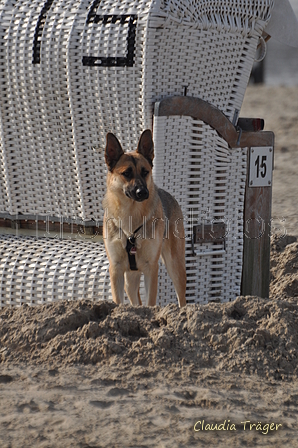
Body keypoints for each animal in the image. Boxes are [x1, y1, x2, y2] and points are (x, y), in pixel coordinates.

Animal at [103, 130, 185, 308]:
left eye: (145, 172)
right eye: (126, 173)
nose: (143, 192)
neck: (131, 213)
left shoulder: (151, 269)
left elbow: (150, 302)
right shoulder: (116, 269)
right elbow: (118, 301)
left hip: (175, 267)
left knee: (182, 298)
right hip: (129, 281)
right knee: (135, 300)